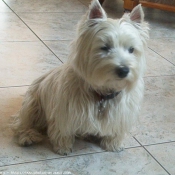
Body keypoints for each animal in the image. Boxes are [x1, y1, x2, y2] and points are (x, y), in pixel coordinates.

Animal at [11, 0, 149, 156]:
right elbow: (63, 131)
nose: (124, 70)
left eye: (131, 49)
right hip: (32, 104)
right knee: (21, 123)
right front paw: (63, 147)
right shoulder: (65, 112)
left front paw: (114, 145)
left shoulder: (122, 114)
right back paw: (28, 136)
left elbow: (116, 132)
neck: (103, 94)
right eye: (105, 47)